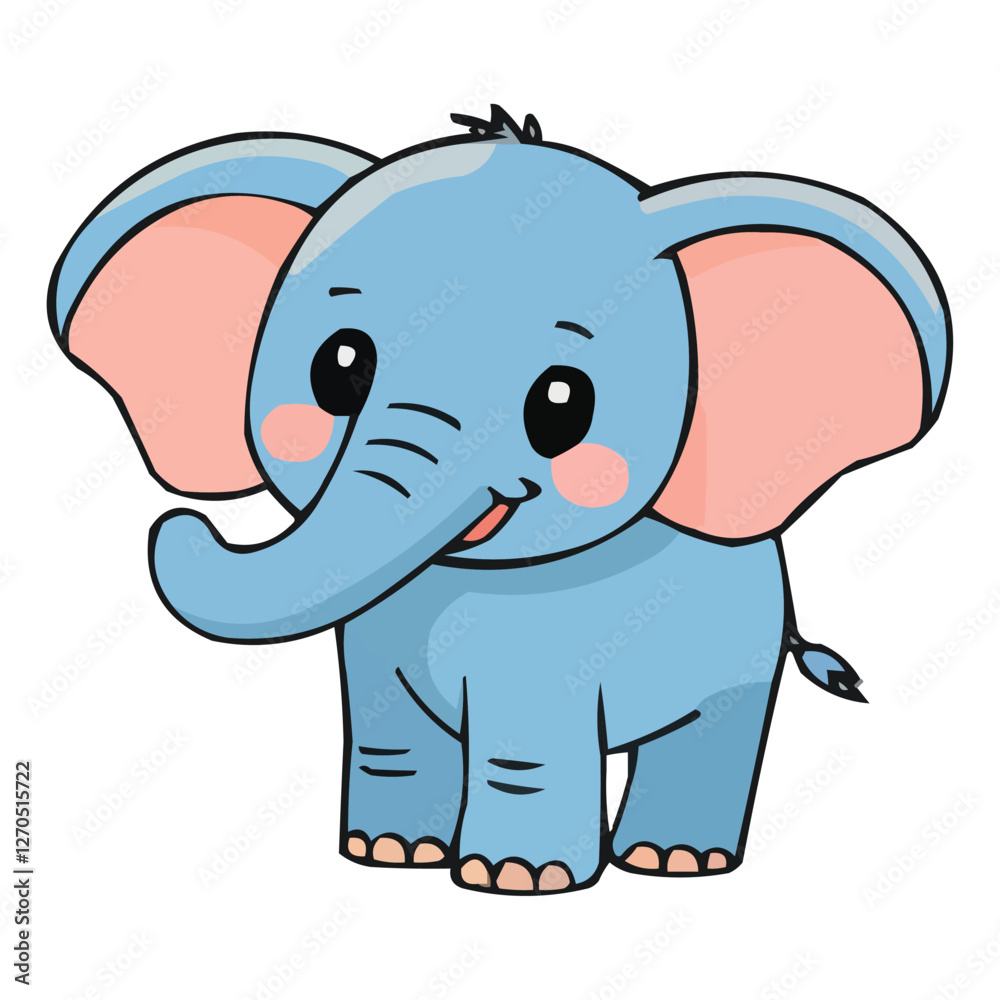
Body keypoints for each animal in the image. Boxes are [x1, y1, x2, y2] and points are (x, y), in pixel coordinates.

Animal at [48, 105, 951, 894]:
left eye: (562, 404)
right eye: (337, 367)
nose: (180, 523)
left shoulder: (552, 651)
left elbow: (524, 745)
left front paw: (515, 879)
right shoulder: (376, 624)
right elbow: (388, 726)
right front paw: (386, 853)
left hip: (742, 651)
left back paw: (674, 862)